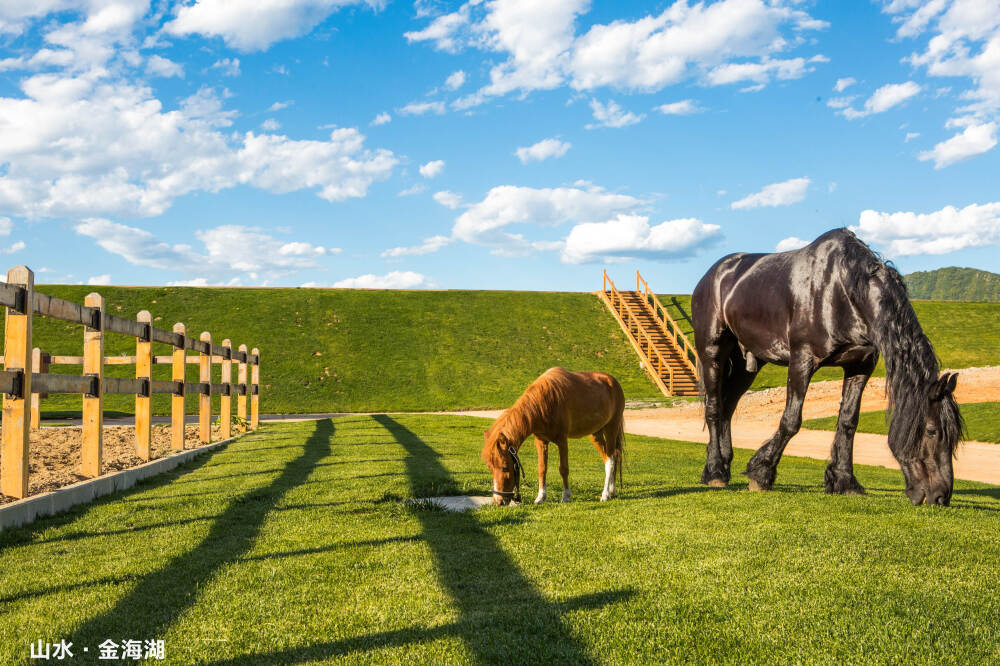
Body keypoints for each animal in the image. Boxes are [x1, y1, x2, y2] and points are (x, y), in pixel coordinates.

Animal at [478, 368, 624, 504]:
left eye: (504, 467)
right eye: (490, 467)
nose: (499, 501)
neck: (544, 402)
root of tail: (613, 382)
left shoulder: (562, 441)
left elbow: (563, 469)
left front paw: (566, 496)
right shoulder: (541, 441)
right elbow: (542, 468)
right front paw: (540, 497)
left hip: (611, 428)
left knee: (611, 460)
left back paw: (605, 494)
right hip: (596, 434)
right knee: (609, 458)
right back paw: (612, 489)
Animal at [696, 228, 960, 504]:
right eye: (931, 431)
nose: (941, 497)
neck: (844, 292)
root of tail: (714, 274)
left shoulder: (860, 366)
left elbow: (848, 422)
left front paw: (844, 480)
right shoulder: (802, 360)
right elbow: (791, 420)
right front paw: (761, 472)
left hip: (747, 365)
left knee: (727, 408)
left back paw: (723, 464)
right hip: (712, 352)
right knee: (714, 408)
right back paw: (715, 471)